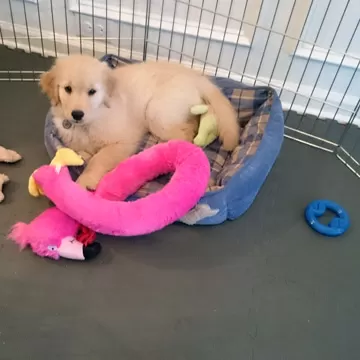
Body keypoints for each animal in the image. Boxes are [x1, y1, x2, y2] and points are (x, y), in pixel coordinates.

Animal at [40, 54, 239, 188]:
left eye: (92, 92)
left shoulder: (124, 141)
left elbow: (99, 158)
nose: (77, 114)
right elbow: (83, 153)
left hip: (156, 113)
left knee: (187, 135)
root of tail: (197, 76)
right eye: (67, 89)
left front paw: (85, 180)